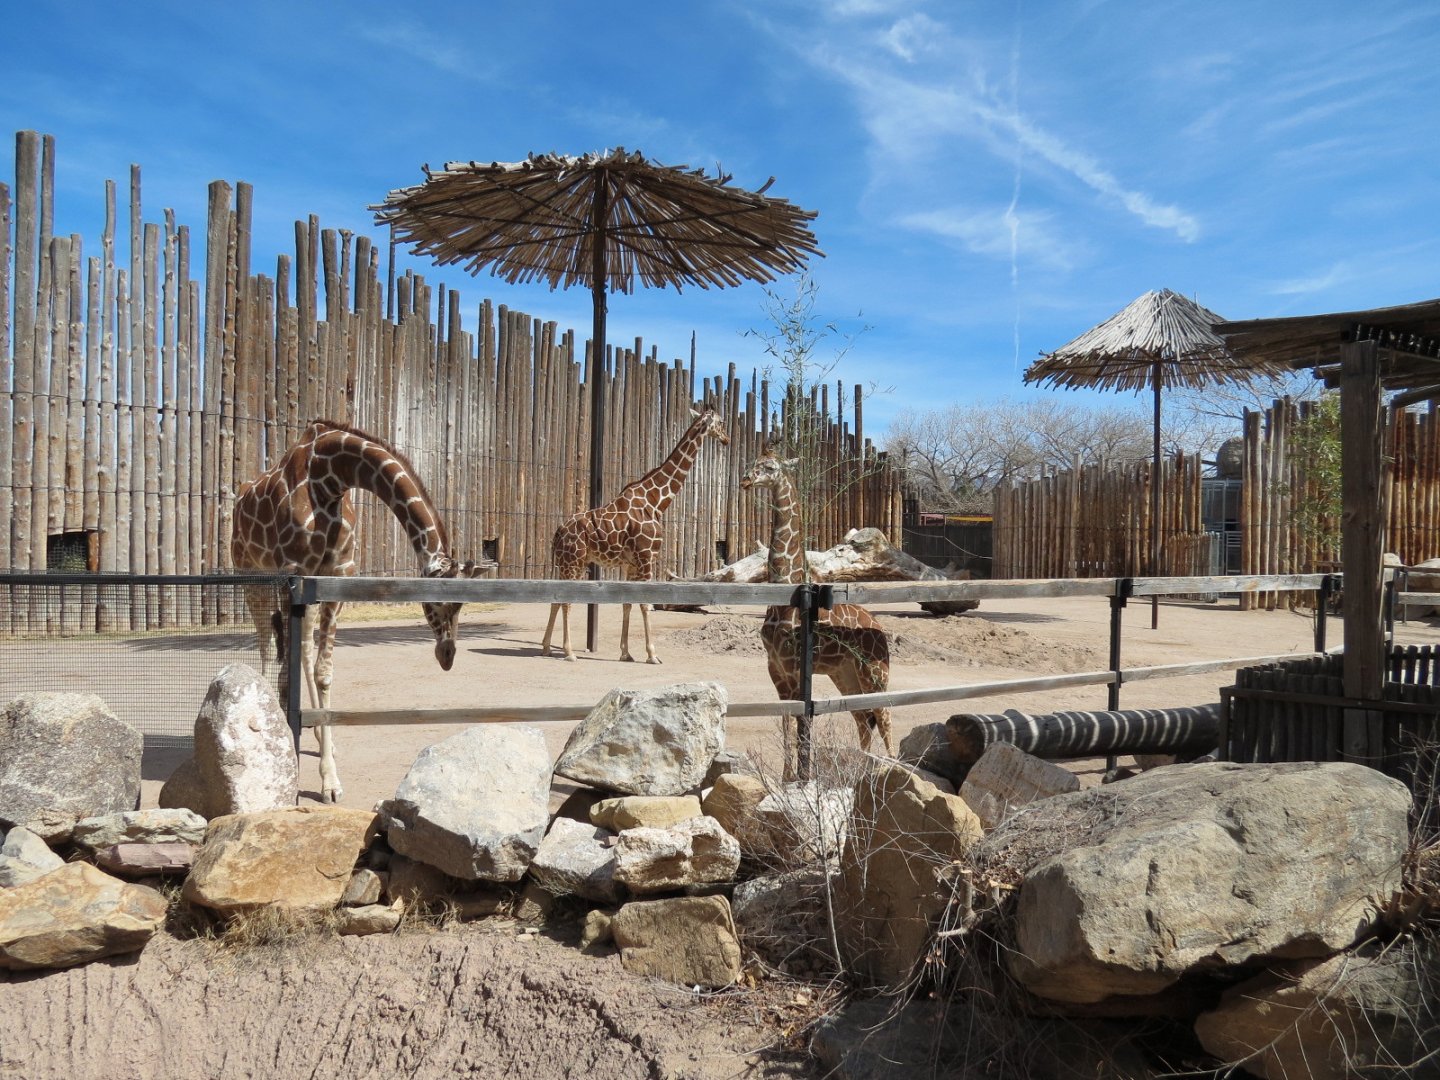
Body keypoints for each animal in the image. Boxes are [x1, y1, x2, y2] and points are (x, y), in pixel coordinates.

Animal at [232, 419, 481, 802]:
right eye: (436, 602)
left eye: (463, 604)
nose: (447, 656)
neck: (331, 477)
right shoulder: (293, 573)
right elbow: (291, 667)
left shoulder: (335, 577)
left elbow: (323, 671)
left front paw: (329, 778)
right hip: (251, 575)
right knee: (267, 644)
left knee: (300, 649)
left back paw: (320, 736)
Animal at [541, 404, 731, 663]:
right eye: (720, 422)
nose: (727, 439)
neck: (657, 500)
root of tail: (558, 532)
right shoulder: (647, 557)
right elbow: (645, 604)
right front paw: (652, 654)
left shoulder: (631, 563)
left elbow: (627, 603)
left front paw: (626, 653)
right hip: (574, 562)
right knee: (566, 601)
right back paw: (569, 652)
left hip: (566, 563)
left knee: (555, 599)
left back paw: (546, 647)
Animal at [740, 447, 892, 780]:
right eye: (753, 463)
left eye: (770, 467)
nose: (745, 480)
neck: (784, 593)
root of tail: (879, 628)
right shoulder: (776, 669)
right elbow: (787, 719)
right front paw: (787, 777)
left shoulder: (796, 667)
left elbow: (802, 721)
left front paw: (799, 776)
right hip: (844, 673)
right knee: (863, 719)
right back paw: (863, 770)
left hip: (875, 672)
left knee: (884, 715)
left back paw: (894, 768)